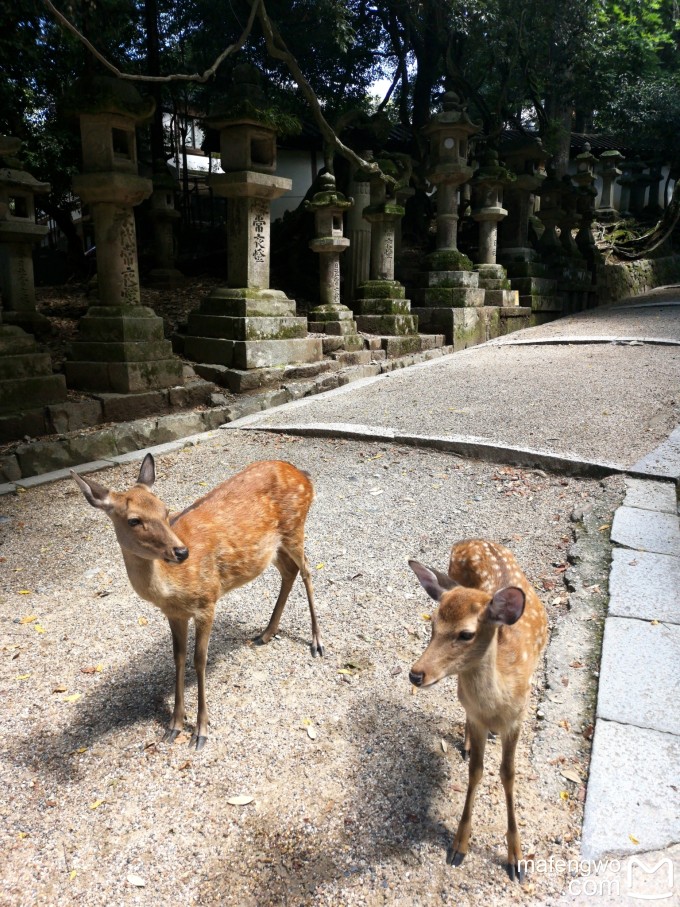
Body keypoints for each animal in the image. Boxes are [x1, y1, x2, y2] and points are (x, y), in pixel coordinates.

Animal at [73, 454, 322, 752]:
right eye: (134, 520)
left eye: (165, 510)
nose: (181, 552)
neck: (171, 590)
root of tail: (303, 475)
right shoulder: (174, 614)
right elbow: (178, 658)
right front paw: (174, 724)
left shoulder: (207, 601)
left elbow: (199, 660)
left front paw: (201, 730)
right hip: (272, 547)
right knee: (289, 571)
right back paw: (266, 633)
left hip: (296, 527)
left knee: (307, 570)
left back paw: (317, 642)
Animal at [410, 544, 548, 884]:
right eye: (432, 625)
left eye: (466, 634)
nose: (416, 674)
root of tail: (469, 540)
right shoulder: (476, 715)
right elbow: (476, 771)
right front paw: (459, 845)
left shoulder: (518, 717)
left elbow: (508, 774)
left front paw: (516, 859)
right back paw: (468, 742)